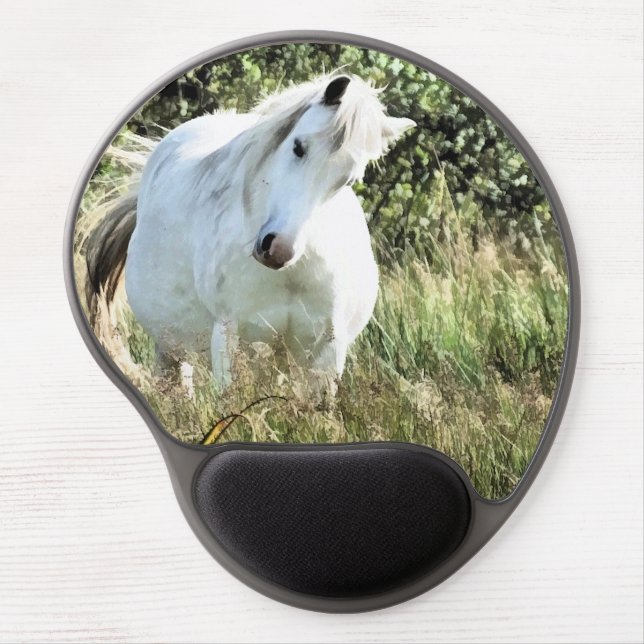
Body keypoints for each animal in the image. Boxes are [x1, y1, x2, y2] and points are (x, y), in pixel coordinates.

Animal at [86, 74, 415, 389]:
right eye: (298, 147)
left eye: (348, 179)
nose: (278, 249)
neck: (292, 274)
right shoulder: (228, 339)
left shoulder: (327, 352)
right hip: (170, 349)